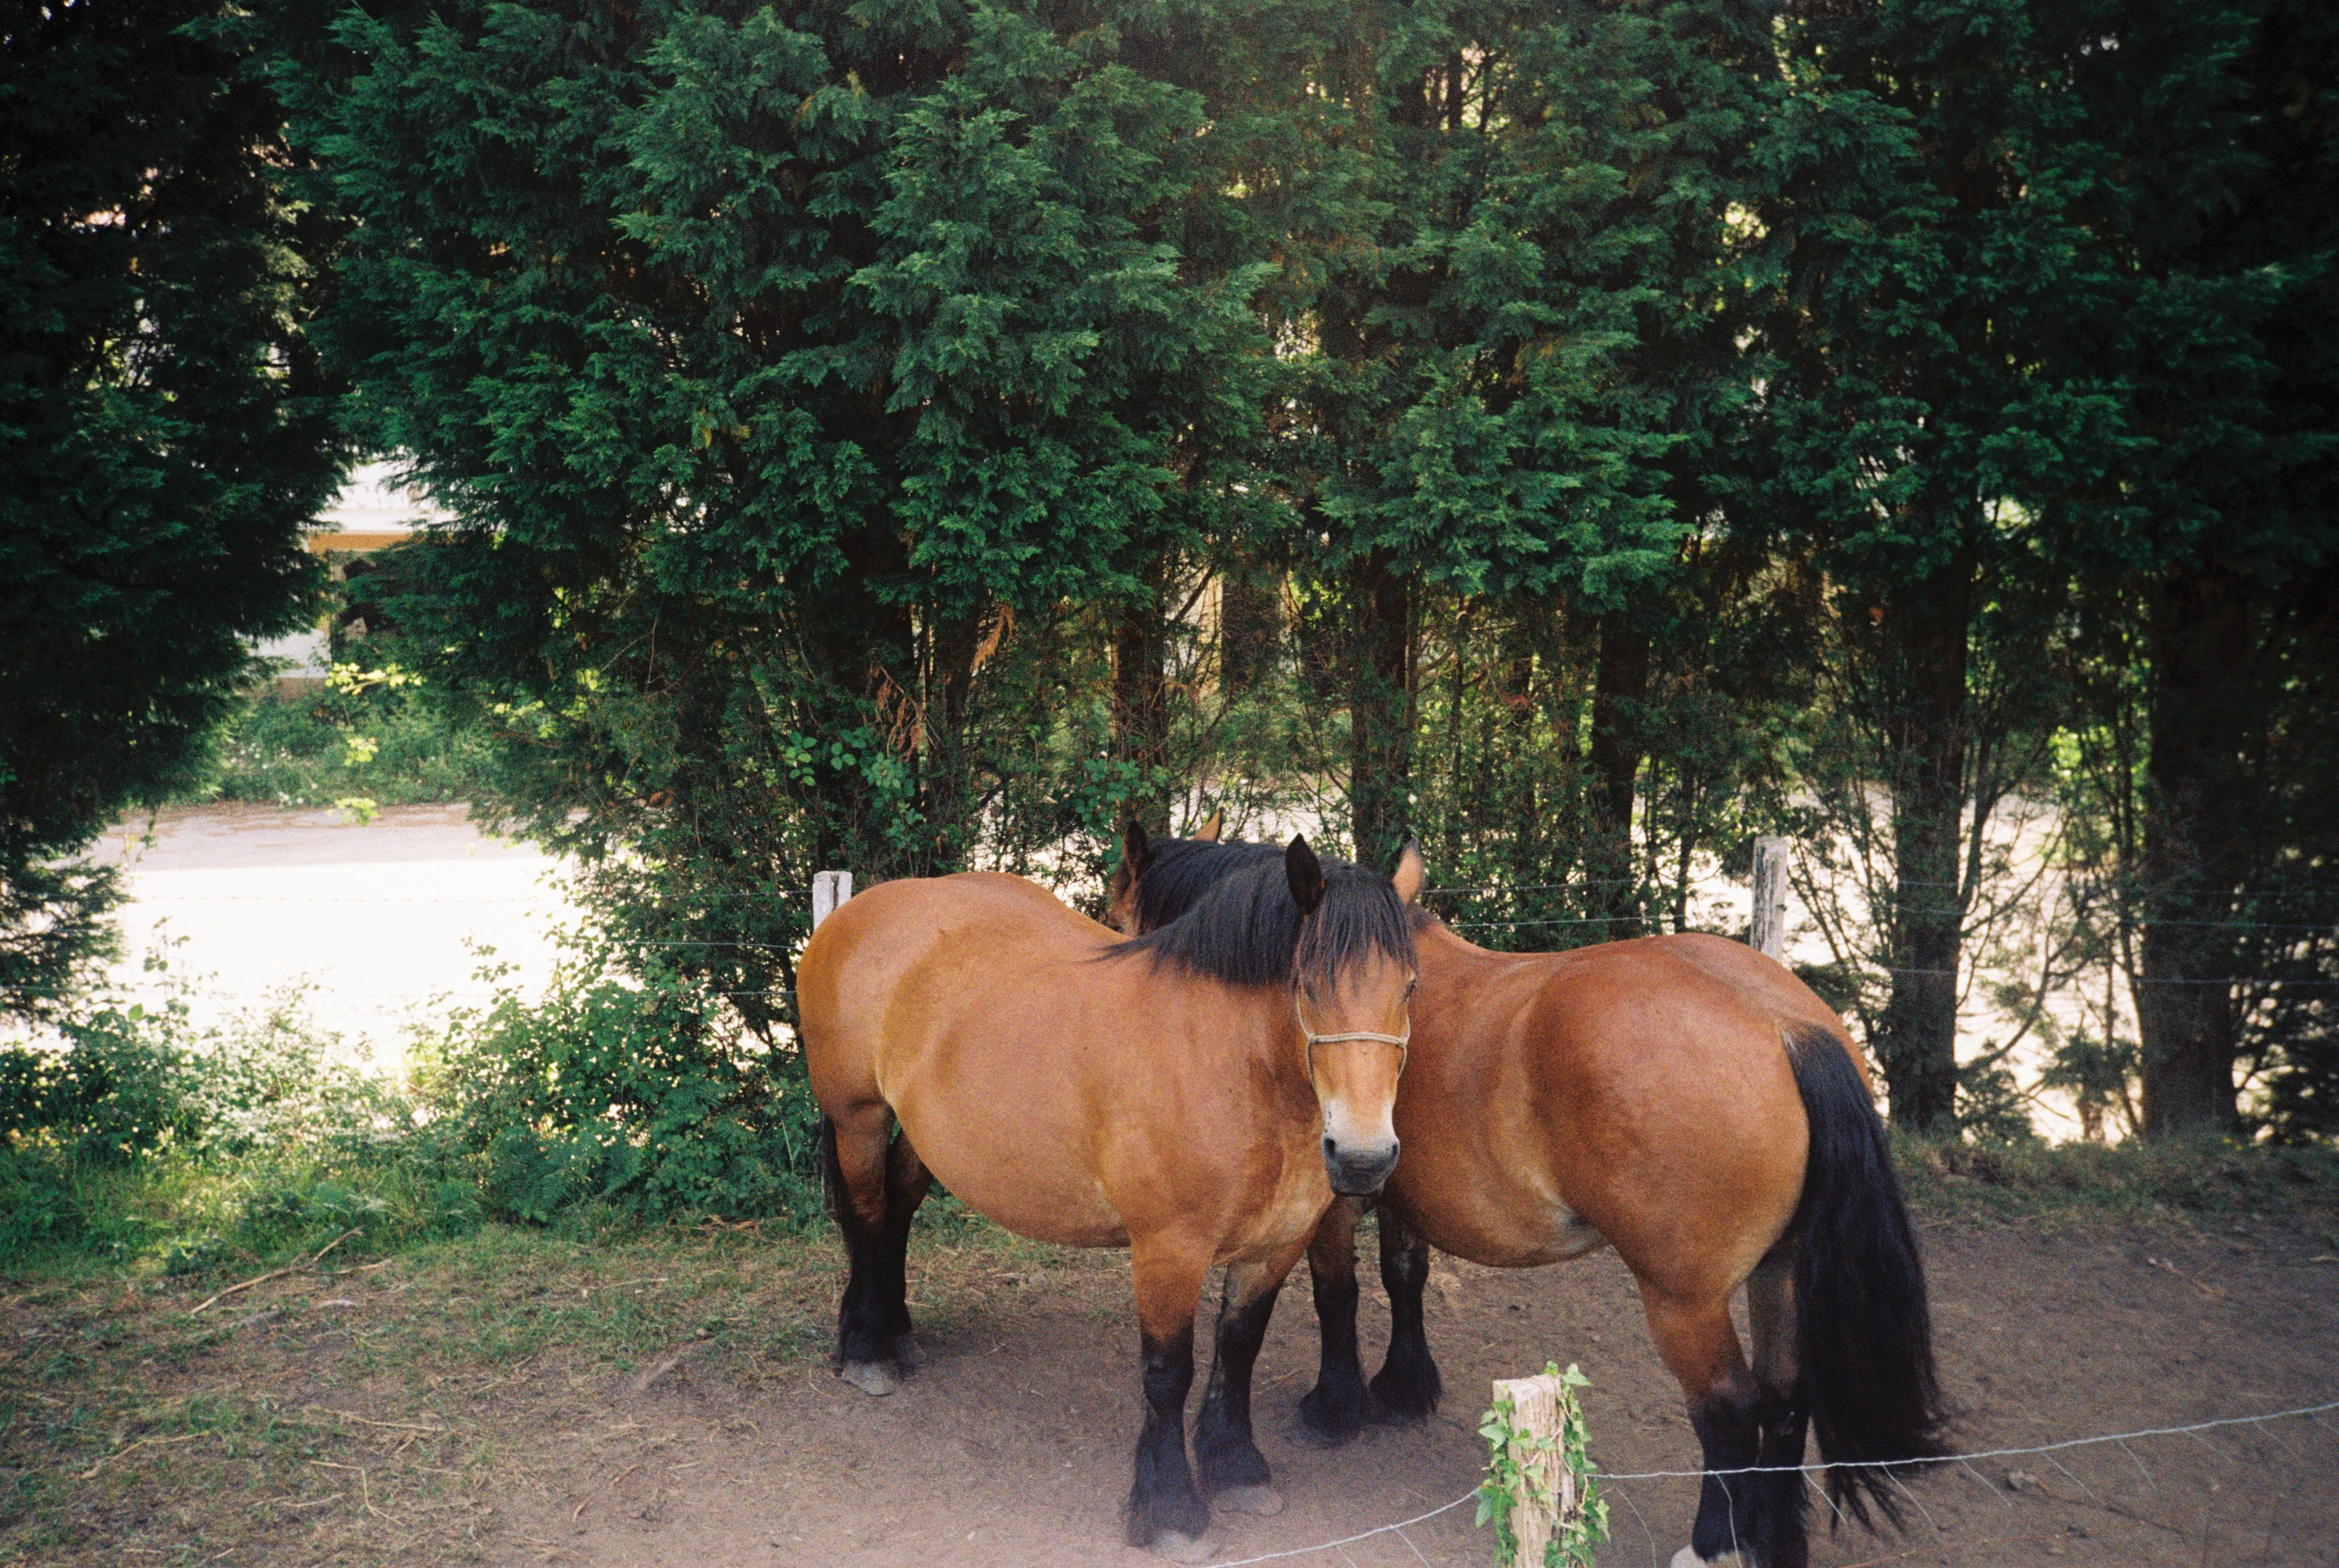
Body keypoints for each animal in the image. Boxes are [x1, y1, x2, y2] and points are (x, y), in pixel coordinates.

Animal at [797, 836, 1426, 1559]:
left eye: (1409, 986)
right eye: (1308, 984)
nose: (1361, 1157)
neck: (1230, 1065)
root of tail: (858, 909)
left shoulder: (1277, 1242)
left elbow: (1239, 1346)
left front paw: (1236, 1467)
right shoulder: (1167, 1250)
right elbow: (1167, 1373)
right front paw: (1171, 1509)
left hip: (925, 1134)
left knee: (895, 1209)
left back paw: (893, 1333)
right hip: (859, 1119)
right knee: (867, 1215)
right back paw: (867, 1351)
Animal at [1108, 825, 1945, 1568]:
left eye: (1118, 921)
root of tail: (1785, 1025)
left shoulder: (1337, 1199)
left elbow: (1335, 1293)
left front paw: (1335, 1405)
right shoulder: (1399, 1191)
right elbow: (1403, 1278)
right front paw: (1402, 1388)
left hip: (1685, 1299)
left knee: (1729, 1409)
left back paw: (1715, 1546)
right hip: (1781, 1271)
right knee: (1785, 1398)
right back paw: (1772, 1540)